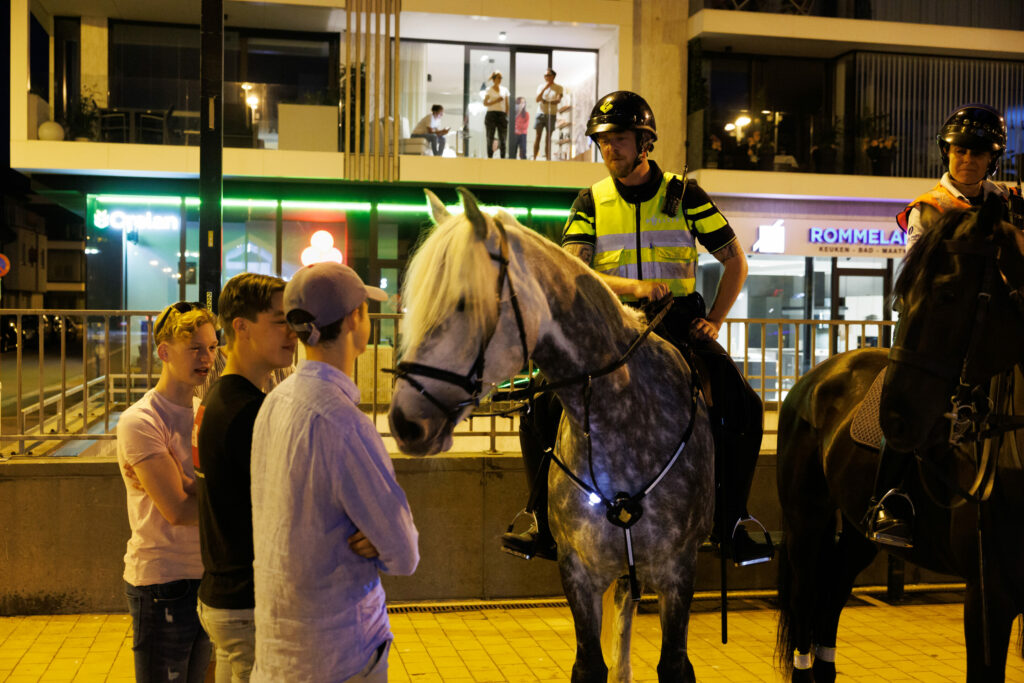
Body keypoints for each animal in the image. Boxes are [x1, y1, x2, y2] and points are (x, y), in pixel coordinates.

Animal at [385, 188, 712, 683]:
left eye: (464, 302)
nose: (404, 421)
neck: (622, 417)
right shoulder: (579, 571)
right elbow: (591, 663)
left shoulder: (679, 571)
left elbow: (673, 663)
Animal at [774, 193, 1024, 683]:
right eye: (901, 299)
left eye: (947, 295)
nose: (895, 417)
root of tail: (817, 374)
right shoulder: (988, 598)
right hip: (806, 523)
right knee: (805, 602)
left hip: (857, 532)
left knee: (832, 594)